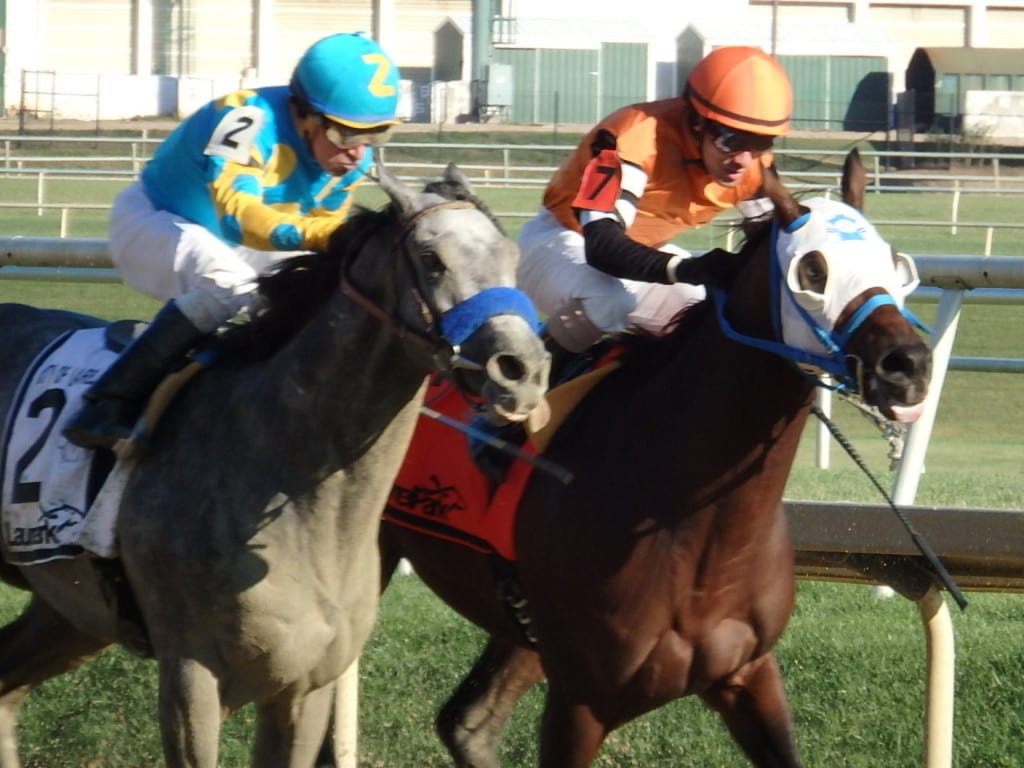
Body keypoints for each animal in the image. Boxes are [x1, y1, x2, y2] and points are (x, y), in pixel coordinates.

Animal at [0, 166, 552, 768]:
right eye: (432, 259)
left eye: (511, 256)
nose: (522, 371)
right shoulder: (191, 678)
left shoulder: (306, 686)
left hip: (71, 611)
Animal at [348, 151, 933, 768]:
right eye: (813, 272)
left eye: (894, 264)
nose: (908, 365)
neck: (696, 528)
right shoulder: (581, 700)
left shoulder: (748, 674)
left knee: (468, 723)